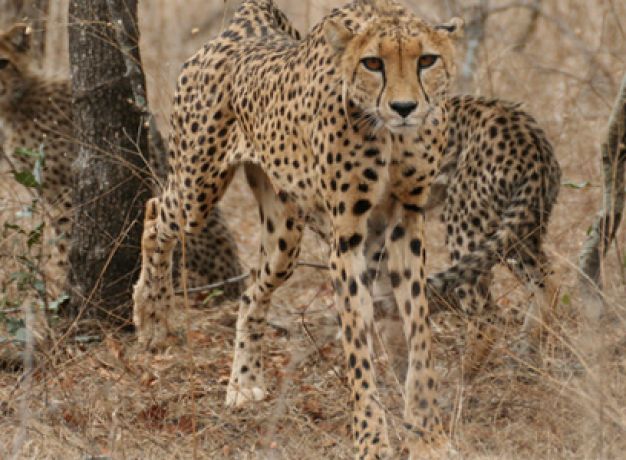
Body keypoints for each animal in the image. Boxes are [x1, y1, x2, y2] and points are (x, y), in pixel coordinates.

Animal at [0, 23, 243, 300]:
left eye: (3, 62)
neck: (18, 100)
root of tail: (234, 283)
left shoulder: (65, 193)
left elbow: (66, 243)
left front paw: (64, 290)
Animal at [132, 1, 460, 458]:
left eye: (426, 60)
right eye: (372, 63)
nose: (404, 107)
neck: (390, 135)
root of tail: (245, 24)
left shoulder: (406, 220)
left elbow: (419, 330)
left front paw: (426, 433)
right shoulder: (346, 235)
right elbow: (357, 344)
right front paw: (371, 438)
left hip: (284, 235)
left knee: (251, 290)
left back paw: (244, 381)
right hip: (197, 188)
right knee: (154, 212)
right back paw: (152, 316)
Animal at [368, 94, 560, 378]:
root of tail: (528, 135)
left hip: (465, 224)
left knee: (486, 315)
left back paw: (460, 376)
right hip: (520, 229)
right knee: (546, 283)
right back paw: (526, 351)